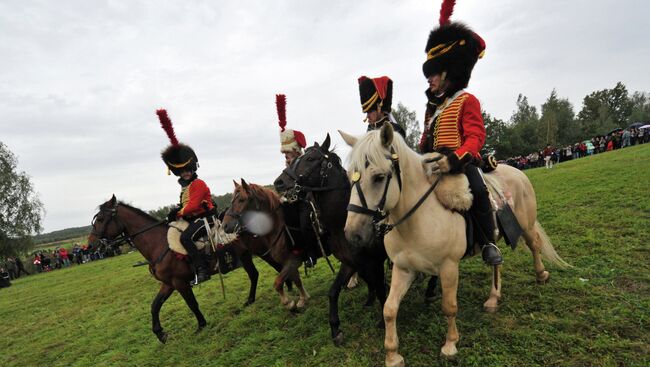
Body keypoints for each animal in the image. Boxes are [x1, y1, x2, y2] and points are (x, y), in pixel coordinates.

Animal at [87, 197, 290, 344]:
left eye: (102, 219)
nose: (91, 245)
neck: (159, 243)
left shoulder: (180, 283)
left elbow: (192, 304)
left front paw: (201, 325)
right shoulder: (168, 284)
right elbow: (155, 306)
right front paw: (161, 334)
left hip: (261, 251)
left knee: (278, 266)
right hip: (247, 256)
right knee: (255, 274)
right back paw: (252, 300)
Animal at [220, 180, 308, 312]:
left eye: (241, 200)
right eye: (231, 201)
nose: (225, 225)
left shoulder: (290, 258)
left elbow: (280, 279)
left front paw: (289, 301)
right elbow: (294, 278)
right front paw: (301, 298)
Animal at [270, 134, 388, 346]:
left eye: (309, 159)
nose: (279, 183)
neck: (343, 221)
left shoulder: (373, 262)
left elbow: (381, 289)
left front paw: (384, 321)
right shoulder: (351, 263)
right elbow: (333, 292)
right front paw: (335, 329)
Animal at [340, 125, 568, 366]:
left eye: (379, 177)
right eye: (350, 177)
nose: (352, 234)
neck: (417, 219)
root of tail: (517, 172)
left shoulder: (448, 267)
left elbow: (449, 306)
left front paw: (450, 344)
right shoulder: (404, 269)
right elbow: (389, 309)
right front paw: (393, 355)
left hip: (526, 225)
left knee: (534, 245)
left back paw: (541, 275)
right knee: (497, 263)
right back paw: (493, 297)